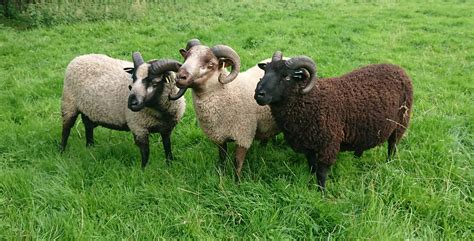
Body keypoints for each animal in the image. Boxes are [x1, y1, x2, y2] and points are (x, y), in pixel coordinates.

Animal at [170, 38, 280, 180]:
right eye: (186, 58)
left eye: (211, 64)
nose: (180, 77)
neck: (228, 92)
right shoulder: (219, 136)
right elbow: (222, 158)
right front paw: (221, 175)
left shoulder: (243, 135)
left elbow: (237, 162)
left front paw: (237, 181)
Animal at [254, 51, 412, 190]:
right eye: (265, 71)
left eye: (286, 76)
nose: (258, 94)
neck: (311, 101)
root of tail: (398, 68)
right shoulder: (308, 144)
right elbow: (312, 167)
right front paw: (310, 184)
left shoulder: (328, 145)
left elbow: (321, 173)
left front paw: (321, 193)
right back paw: (357, 158)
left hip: (401, 123)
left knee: (392, 146)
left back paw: (388, 163)